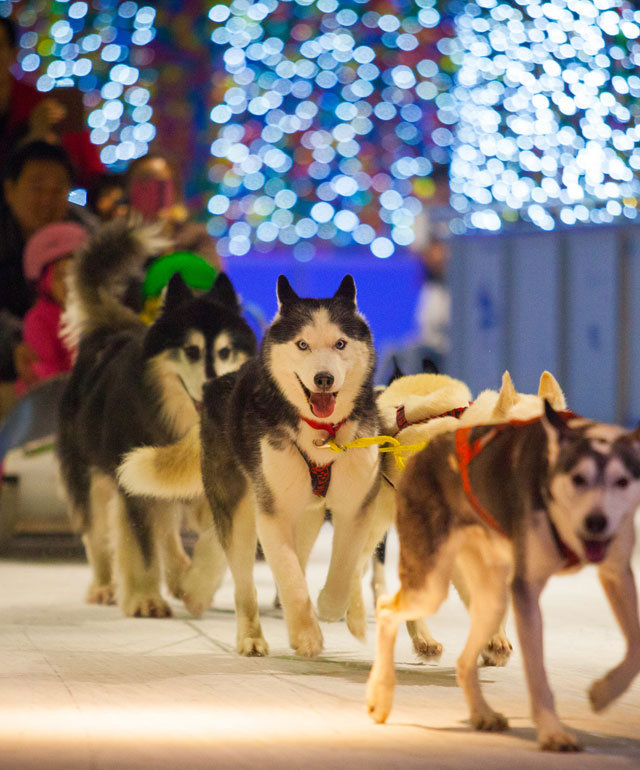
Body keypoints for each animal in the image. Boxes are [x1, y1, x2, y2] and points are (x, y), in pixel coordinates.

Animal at [57, 219, 256, 616]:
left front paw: (197, 588)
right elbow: (141, 545)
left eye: (225, 351)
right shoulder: (130, 482)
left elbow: (213, 541)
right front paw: (145, 598)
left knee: (165, 529)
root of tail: (113, 330)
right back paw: (104, 586)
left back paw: (179, 576)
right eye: (190, 350)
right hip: (92, 473)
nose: (212, 386)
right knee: (99, 534)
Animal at [119, 276, 380, 656]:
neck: (321, 435)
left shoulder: (355, 506)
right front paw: (306, 633)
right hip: (240, 508)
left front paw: (332, 606)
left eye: (340, 343)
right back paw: (248, 634)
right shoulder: (272, 512)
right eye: (302, 344)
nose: (324, 379)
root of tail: (220, 382)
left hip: (306, 515)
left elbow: (344, 566)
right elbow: (288, 575)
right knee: (244, 577)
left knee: (295, 557)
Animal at [368, 402, 640, 752]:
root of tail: (428, 447)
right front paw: (552, 731)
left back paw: (483, 711)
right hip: (432, 585)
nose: (597, 522)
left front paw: (605, 692)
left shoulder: (618, 574)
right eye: (578, 478)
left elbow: (634, 647)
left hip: (491, 594)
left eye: (622, 481)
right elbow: (537, 673)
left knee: (465, 658)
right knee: (388, 609)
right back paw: (381, 695)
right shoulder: (526, 589)